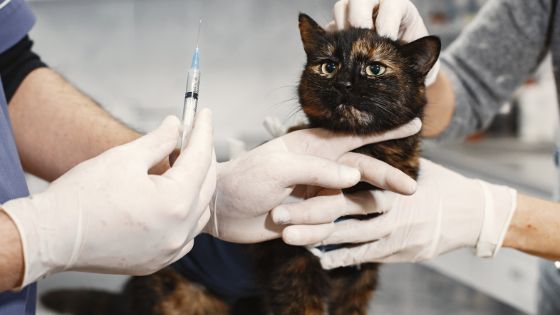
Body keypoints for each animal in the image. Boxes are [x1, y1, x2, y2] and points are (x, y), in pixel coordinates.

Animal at [41, 11, 440, 315]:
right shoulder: (293, 263)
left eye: (375, 69)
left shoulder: (359, 274)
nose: (342, 83)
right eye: (328, 66)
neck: (363, 158)